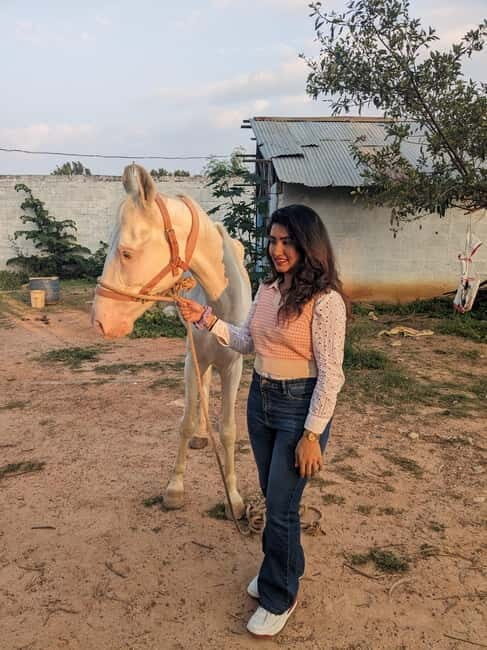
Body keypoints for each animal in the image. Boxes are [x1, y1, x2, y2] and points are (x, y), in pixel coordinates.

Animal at [91, 163, 252, 519]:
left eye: (126, 252)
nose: (99, 321)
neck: (218, 301)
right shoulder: (192, 360)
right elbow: (187, 421)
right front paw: (175, 488)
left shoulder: (233, 366)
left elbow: (229, 430)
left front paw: (233, 498)